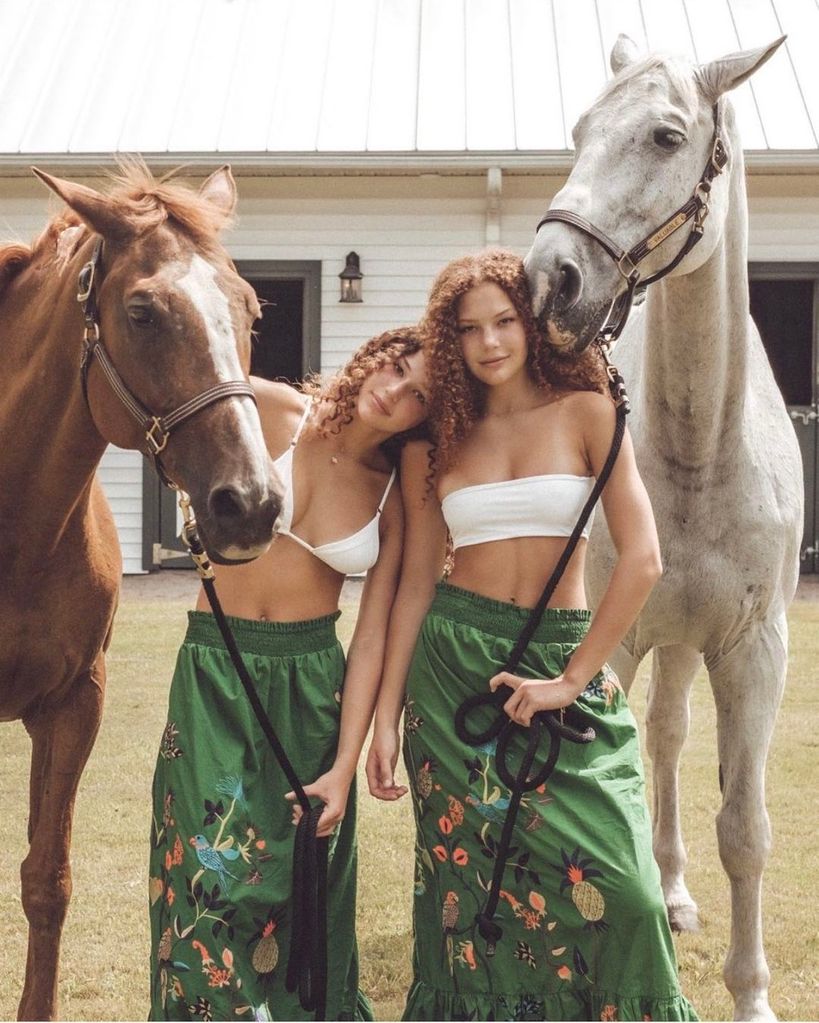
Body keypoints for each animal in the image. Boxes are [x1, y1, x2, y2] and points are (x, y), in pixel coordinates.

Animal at [523, 36, 797, 1018]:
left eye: (666, 135)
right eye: (577, 130)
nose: (549, 278)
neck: (699, 446)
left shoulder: (753, 648)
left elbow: (744, 828)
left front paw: (749, 995)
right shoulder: (607, 644)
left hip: (684, 643)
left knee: (671, 737)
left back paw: (676, 891)